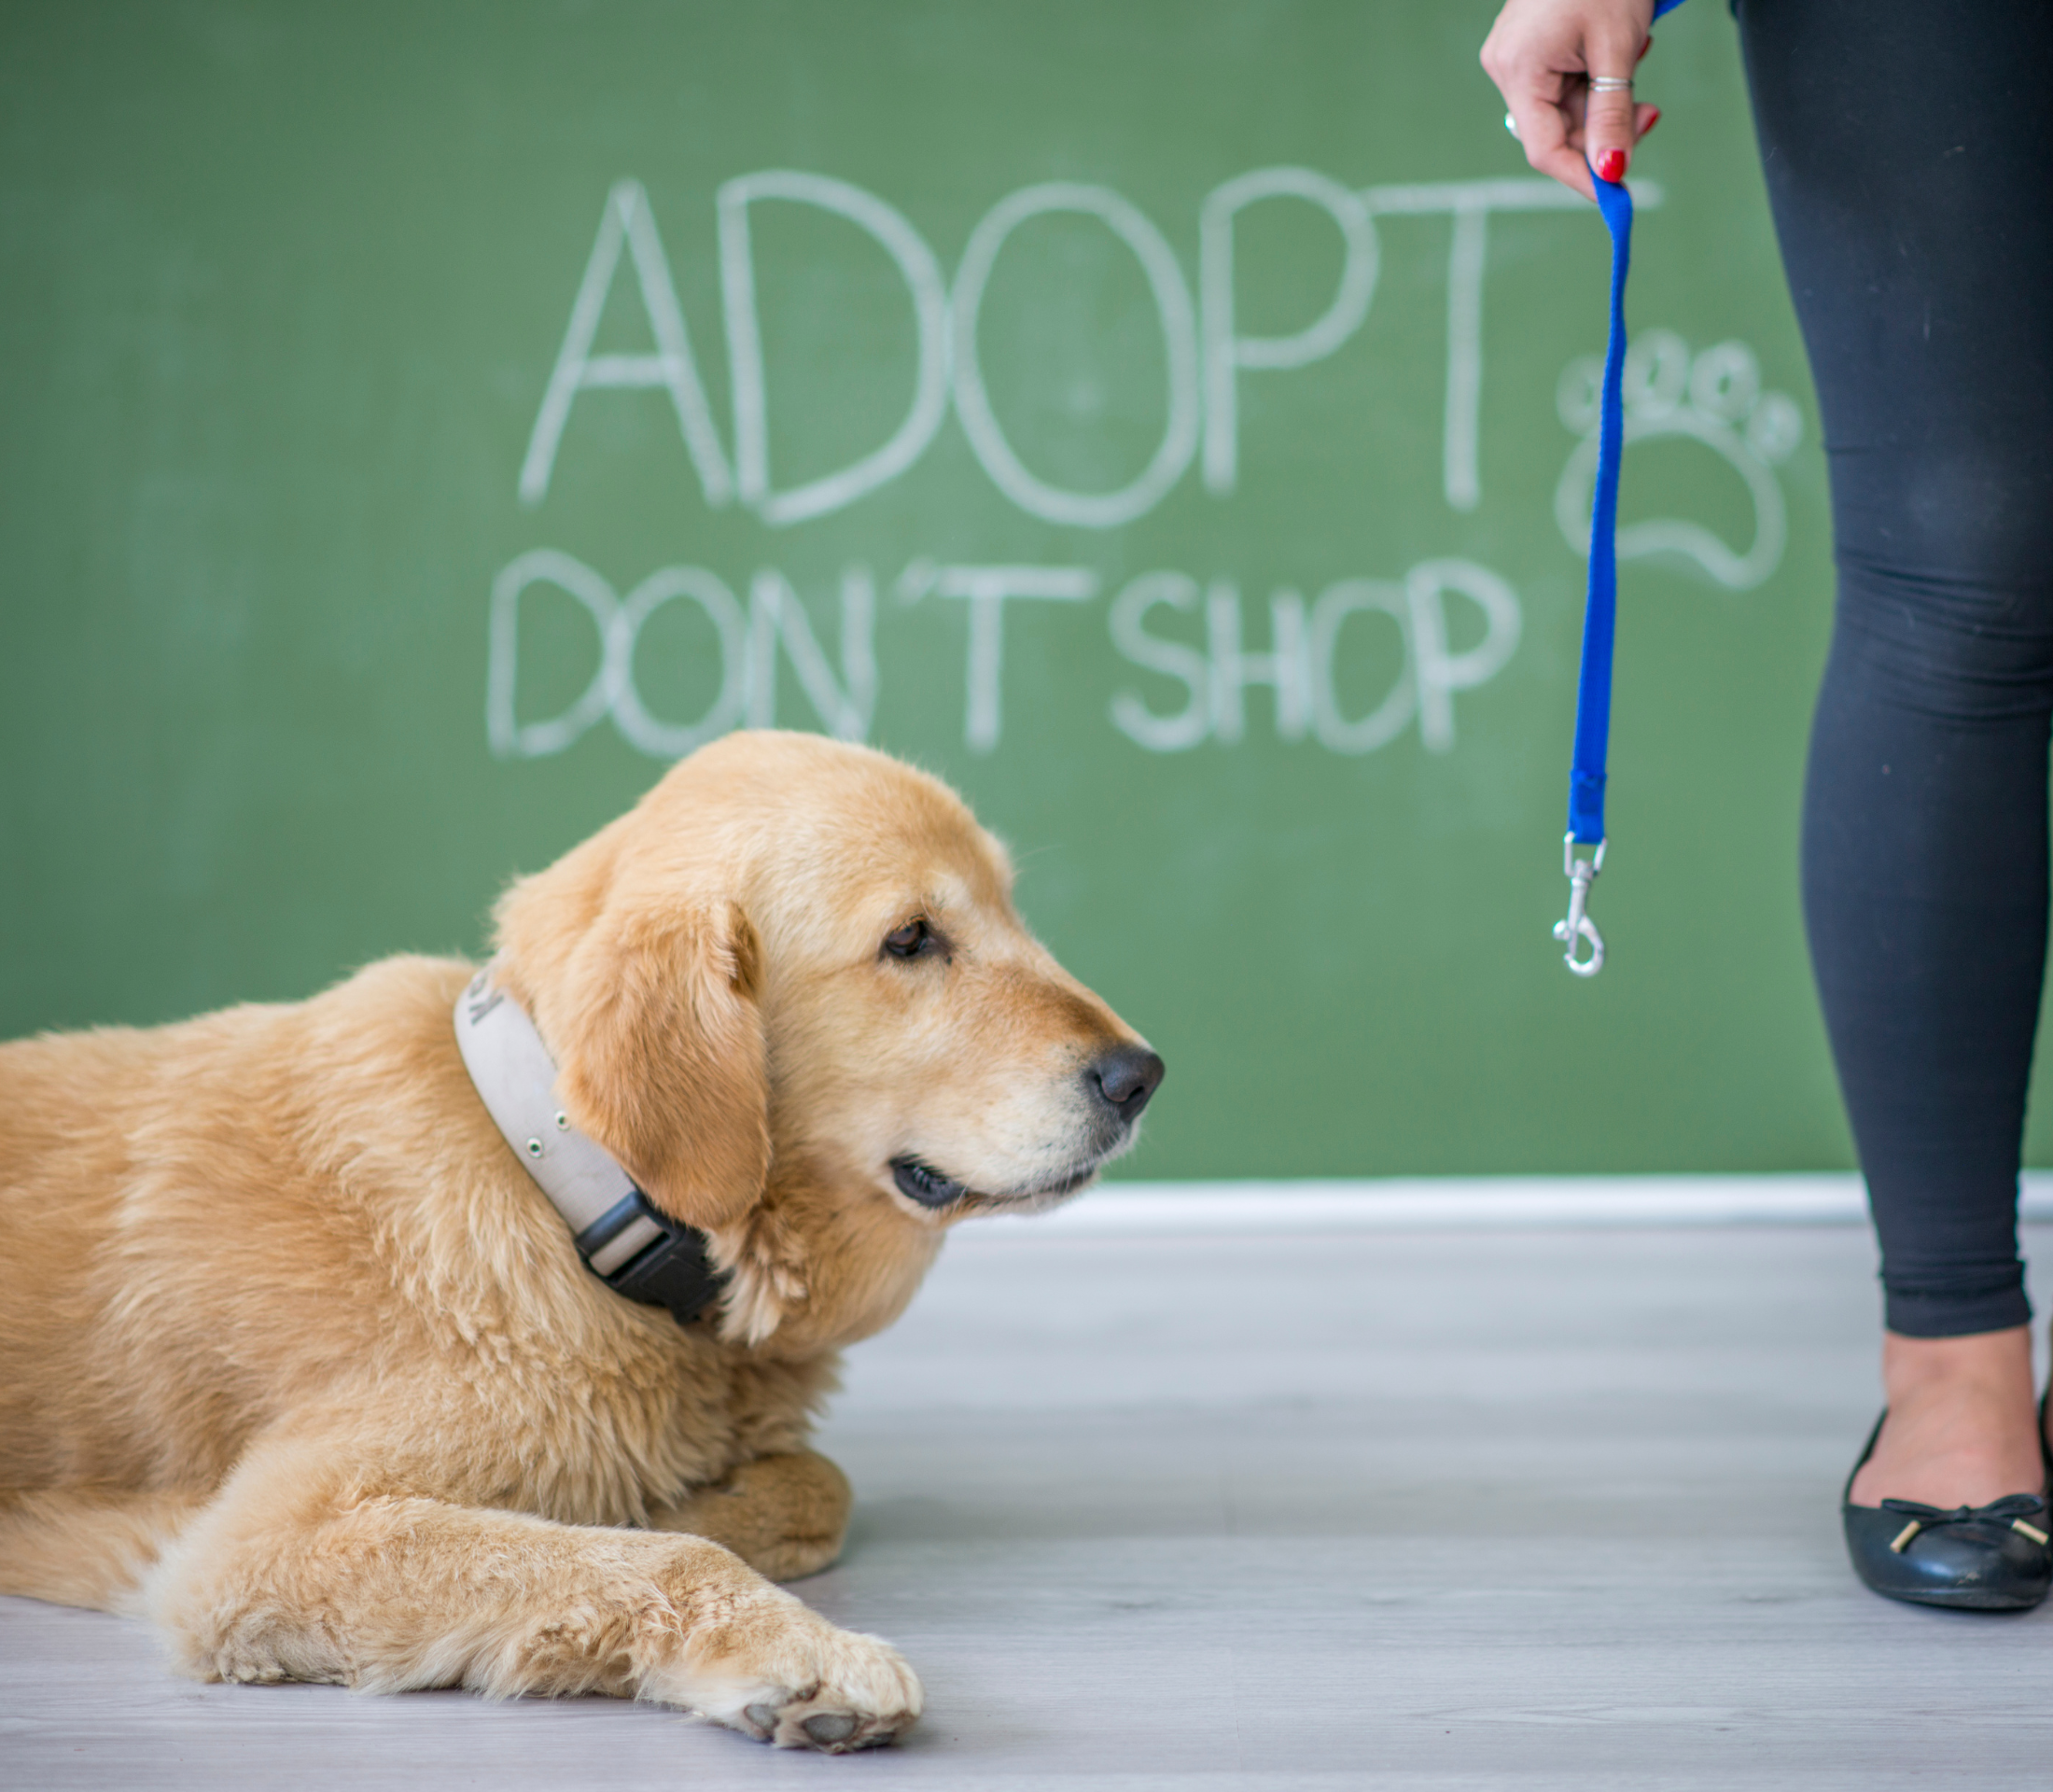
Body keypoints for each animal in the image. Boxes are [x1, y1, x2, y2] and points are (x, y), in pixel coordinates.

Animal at [0, 730, 1157, 1748]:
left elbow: (808, 1488)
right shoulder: (266, 1543)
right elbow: (659, 1556)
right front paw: (795, 1651)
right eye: (910, 939)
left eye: (1010, 906)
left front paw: (685, 1505)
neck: (568, 1189)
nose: (1141, 1075)